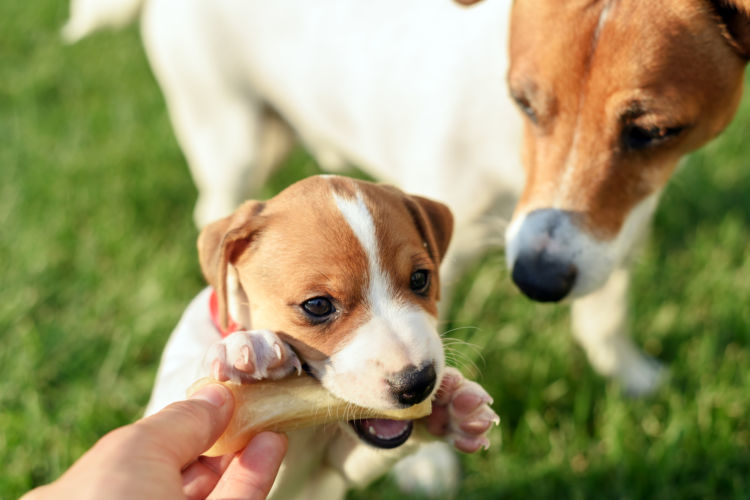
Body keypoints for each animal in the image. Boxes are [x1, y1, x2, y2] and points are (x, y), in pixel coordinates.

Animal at [145, 177, 502, 500]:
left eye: (420, 279)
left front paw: (451, 410)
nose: (417, 384)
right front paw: (247, 351)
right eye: (317, 305)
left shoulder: (336, 471)